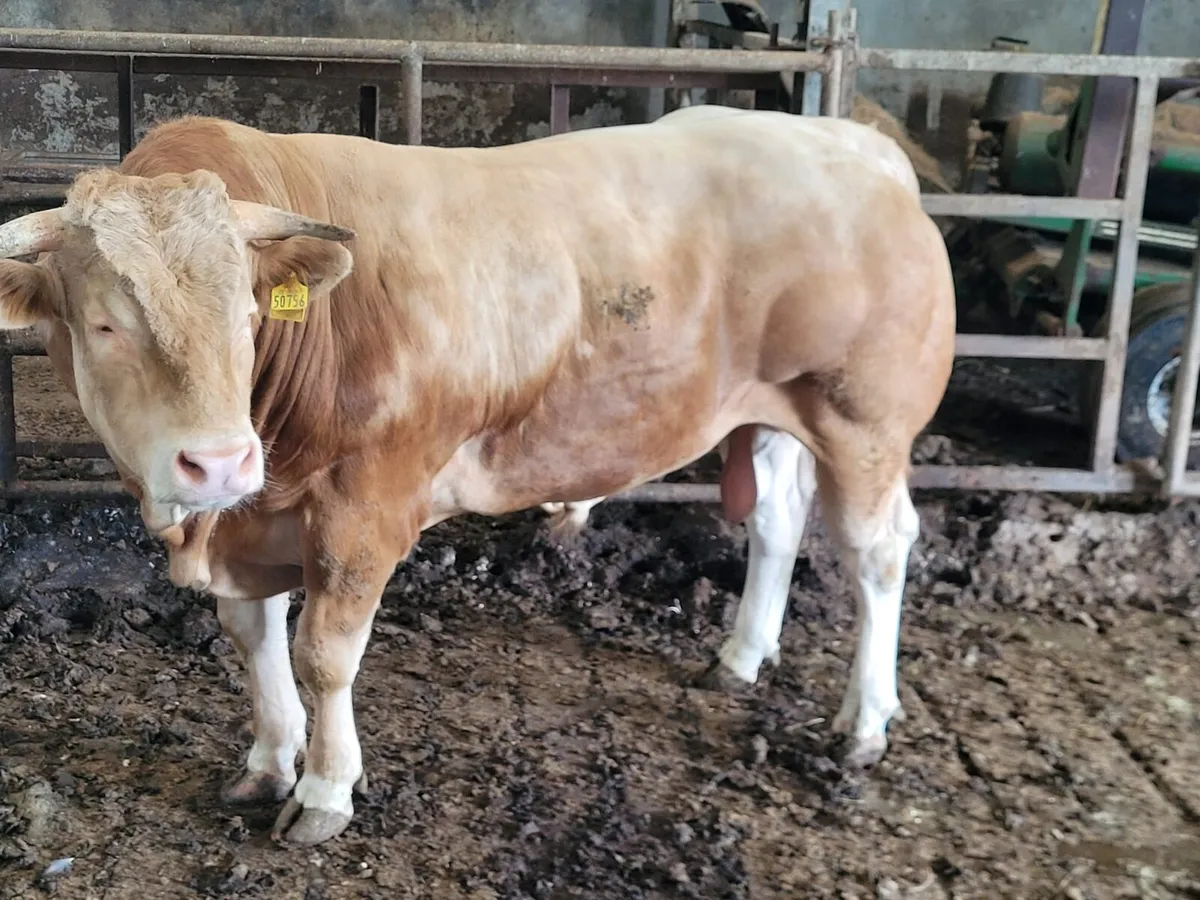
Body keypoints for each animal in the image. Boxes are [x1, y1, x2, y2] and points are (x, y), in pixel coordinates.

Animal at [0, 104, 956, 845]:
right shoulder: (248, 520)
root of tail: (852, 141)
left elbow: (323, 654)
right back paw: (742, 655)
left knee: (879, 550)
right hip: (772, 410)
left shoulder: (364, 506)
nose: (219, 460)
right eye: (102, 323)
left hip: (863, 419)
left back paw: (865, 720)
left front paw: (323, 792)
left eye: (247, 312)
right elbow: (254, 638)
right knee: (778, 518)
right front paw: (268, 762)